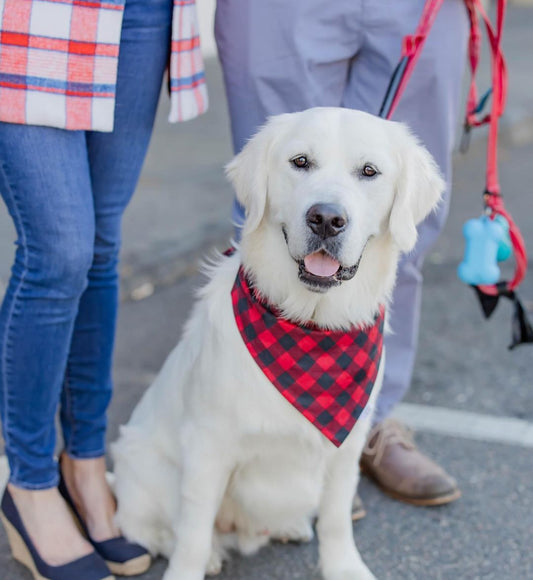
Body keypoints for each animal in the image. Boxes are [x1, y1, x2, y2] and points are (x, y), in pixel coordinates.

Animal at [111, 109, 440, 580]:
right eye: (300, 162)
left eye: (369, 171)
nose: (326, 218)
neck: (310, 327)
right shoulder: (208, 445)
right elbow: (192, 531)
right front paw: (190, 566)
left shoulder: (348, 445)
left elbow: (337, 517)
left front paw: (343, 566)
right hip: (143, 464)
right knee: (153, 527)